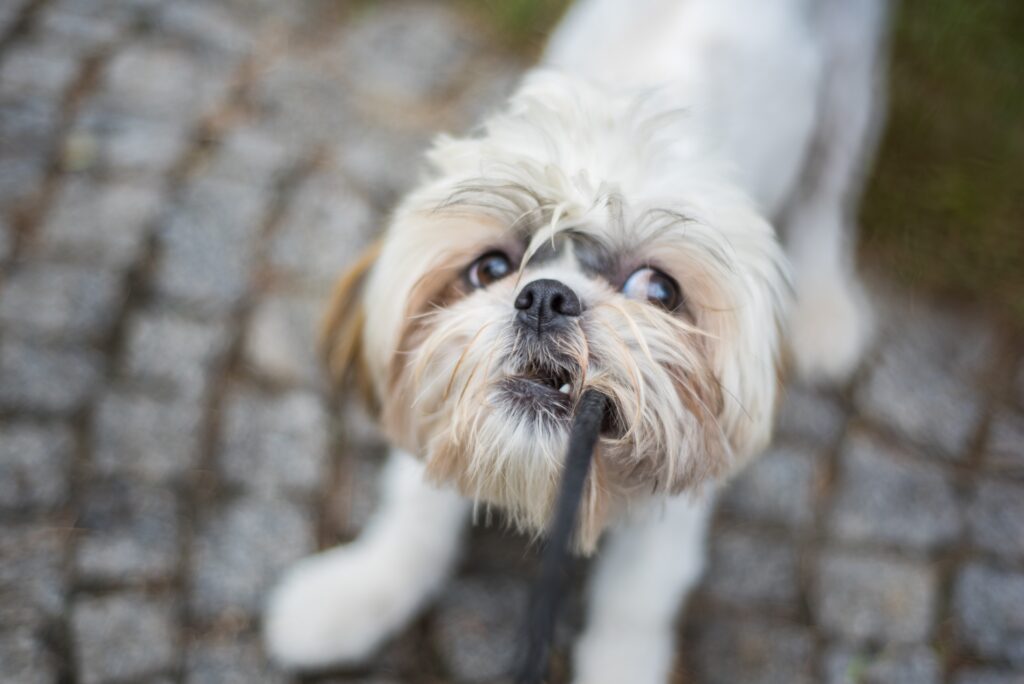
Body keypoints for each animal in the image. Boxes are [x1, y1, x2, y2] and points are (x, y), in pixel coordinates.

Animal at [264, 0, 888, 679]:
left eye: (657, 289)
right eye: (490, 268)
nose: (545, 298)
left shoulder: (687, 475)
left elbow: (636, 599)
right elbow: (415, 519)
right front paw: (354, 595)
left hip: (849, 78)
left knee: (829, 188)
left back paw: (823, 304)